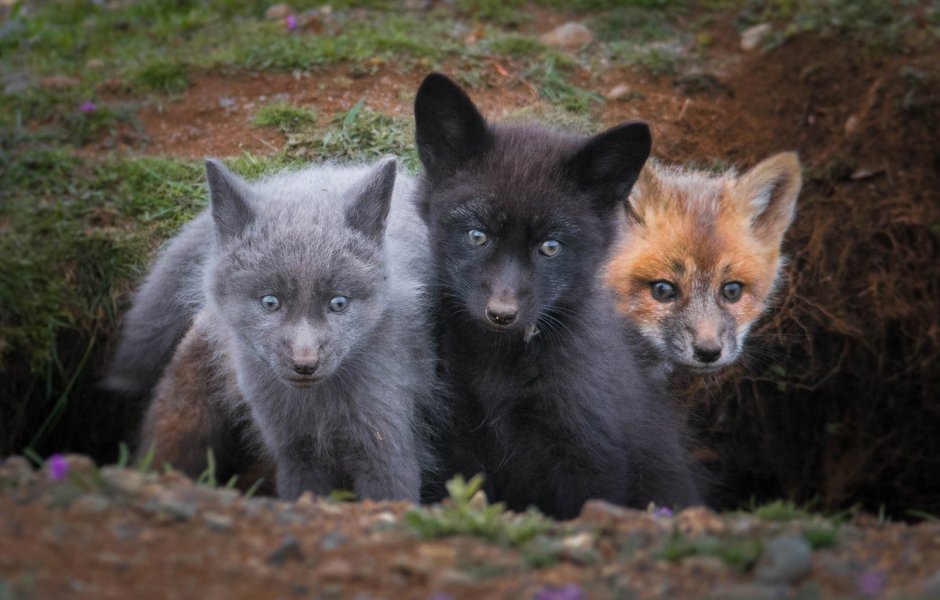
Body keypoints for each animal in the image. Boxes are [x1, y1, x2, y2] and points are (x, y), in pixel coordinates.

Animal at [137, 157, 439, 501]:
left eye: (338, 303)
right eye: (270, 302)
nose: (305, 364)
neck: (319, 412)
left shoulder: (387, 450)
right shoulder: (296, 455)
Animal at [413, 73, 700, 519]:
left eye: (550, 247)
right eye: (477, 235)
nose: (502, 314)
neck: (499, 367)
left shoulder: (586, 451)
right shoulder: (454, 435)